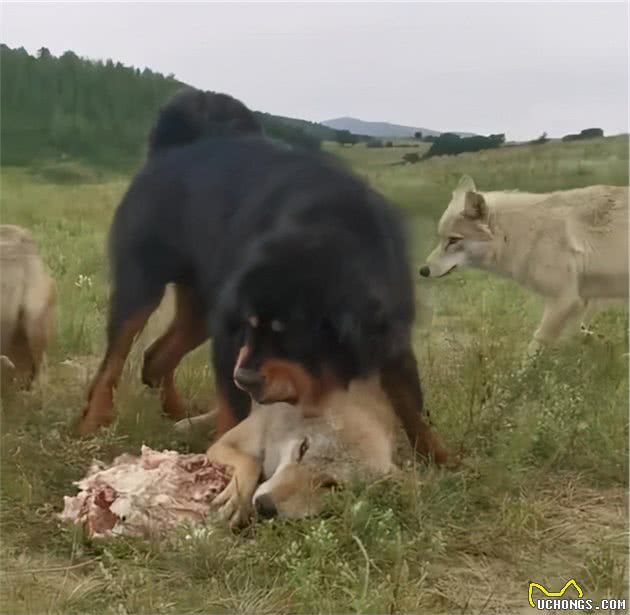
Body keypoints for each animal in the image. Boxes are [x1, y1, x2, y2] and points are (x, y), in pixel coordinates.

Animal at [79, 85, 450, 462]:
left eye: (291, 335)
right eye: (252, 326)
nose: (246, 378)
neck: (333, 230)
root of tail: (168, 152)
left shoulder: (393, 335)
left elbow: (412, 405)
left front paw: (441, 459)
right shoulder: (230, 337)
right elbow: (233, 413)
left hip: (202, 309)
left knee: (156, 358)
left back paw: (178, 414)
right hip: (142, 289)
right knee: (113, 363)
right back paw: (93, 424)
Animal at [420, 176, 630, 354]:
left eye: (453, 240)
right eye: (441, 239)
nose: (423, 270)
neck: (520, 234)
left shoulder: (564, 300)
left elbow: (534, 348)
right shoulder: (579, 302)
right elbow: (582, 335)